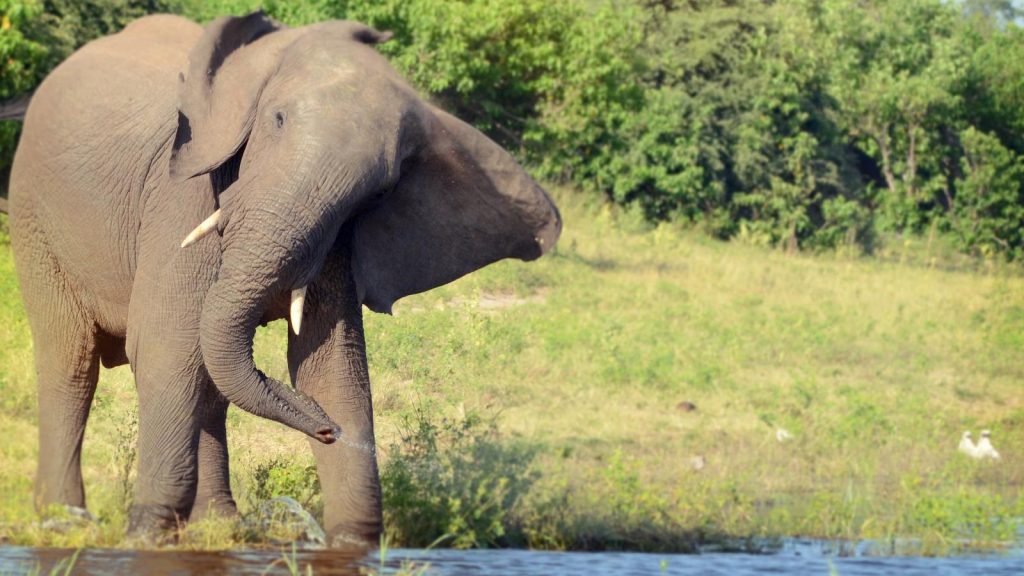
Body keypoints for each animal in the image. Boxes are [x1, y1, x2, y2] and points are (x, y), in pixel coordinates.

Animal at [7, 11, 561, 546]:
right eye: (275, 120)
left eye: (379, 191)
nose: (327, 430)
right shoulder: (180, 195)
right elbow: (167, 344)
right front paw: (146, 537)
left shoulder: (335, 236)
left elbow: (329, 364)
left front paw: (352, 544)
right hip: (33, 216)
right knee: (72, 361)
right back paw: (64, 521)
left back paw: (220, 527)